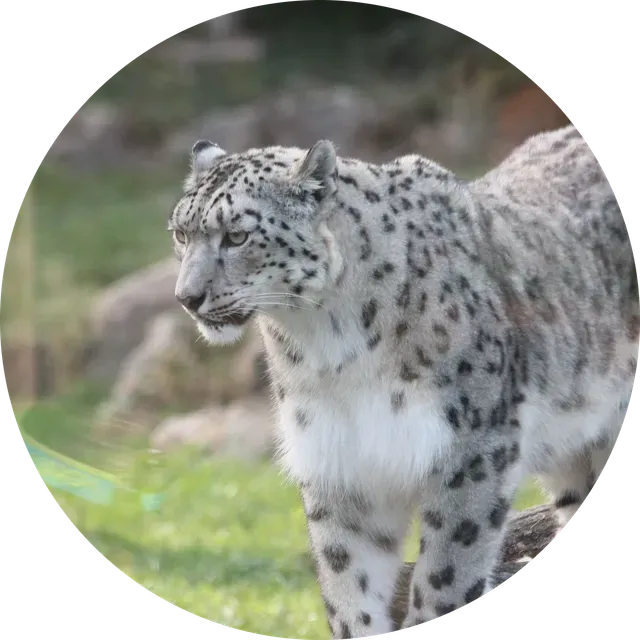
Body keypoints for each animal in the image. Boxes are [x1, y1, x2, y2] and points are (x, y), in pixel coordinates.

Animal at [168, 124, 638, 638]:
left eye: (237, 235)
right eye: (180, 233)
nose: (187, 298)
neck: (331, 350)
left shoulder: (472, 452)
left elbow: (445, 575)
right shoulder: (339, 465)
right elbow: (348, 587)